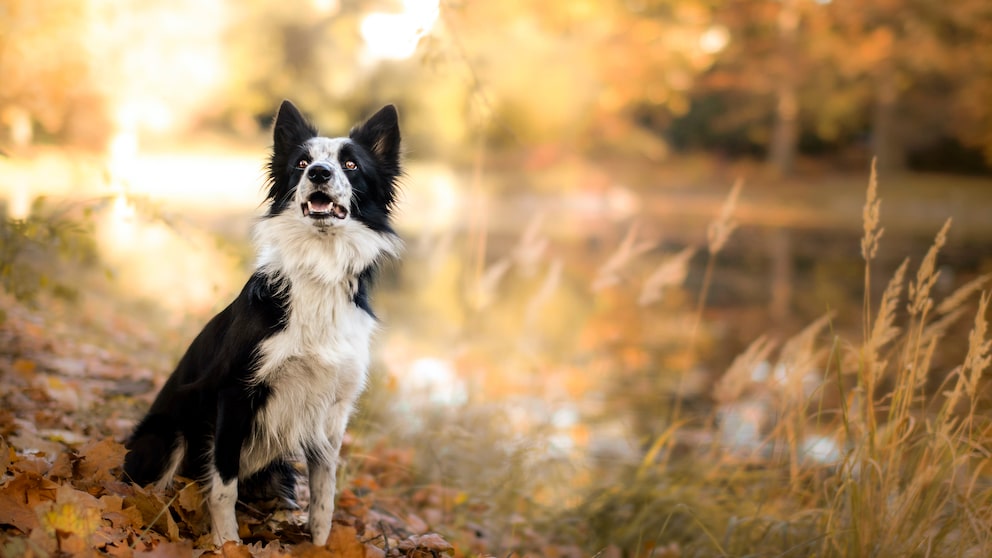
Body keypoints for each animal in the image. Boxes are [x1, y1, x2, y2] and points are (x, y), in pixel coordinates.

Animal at [125, 100, 404, 548]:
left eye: (350, 164)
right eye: (302, 162)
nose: (319, 173)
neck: (318, 270)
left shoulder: (332, 411)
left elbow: (324, 494)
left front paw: (319, 547)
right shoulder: (236, 392)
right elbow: (223, 485)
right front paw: (227, 544)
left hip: (278, 472)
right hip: (169, 435)